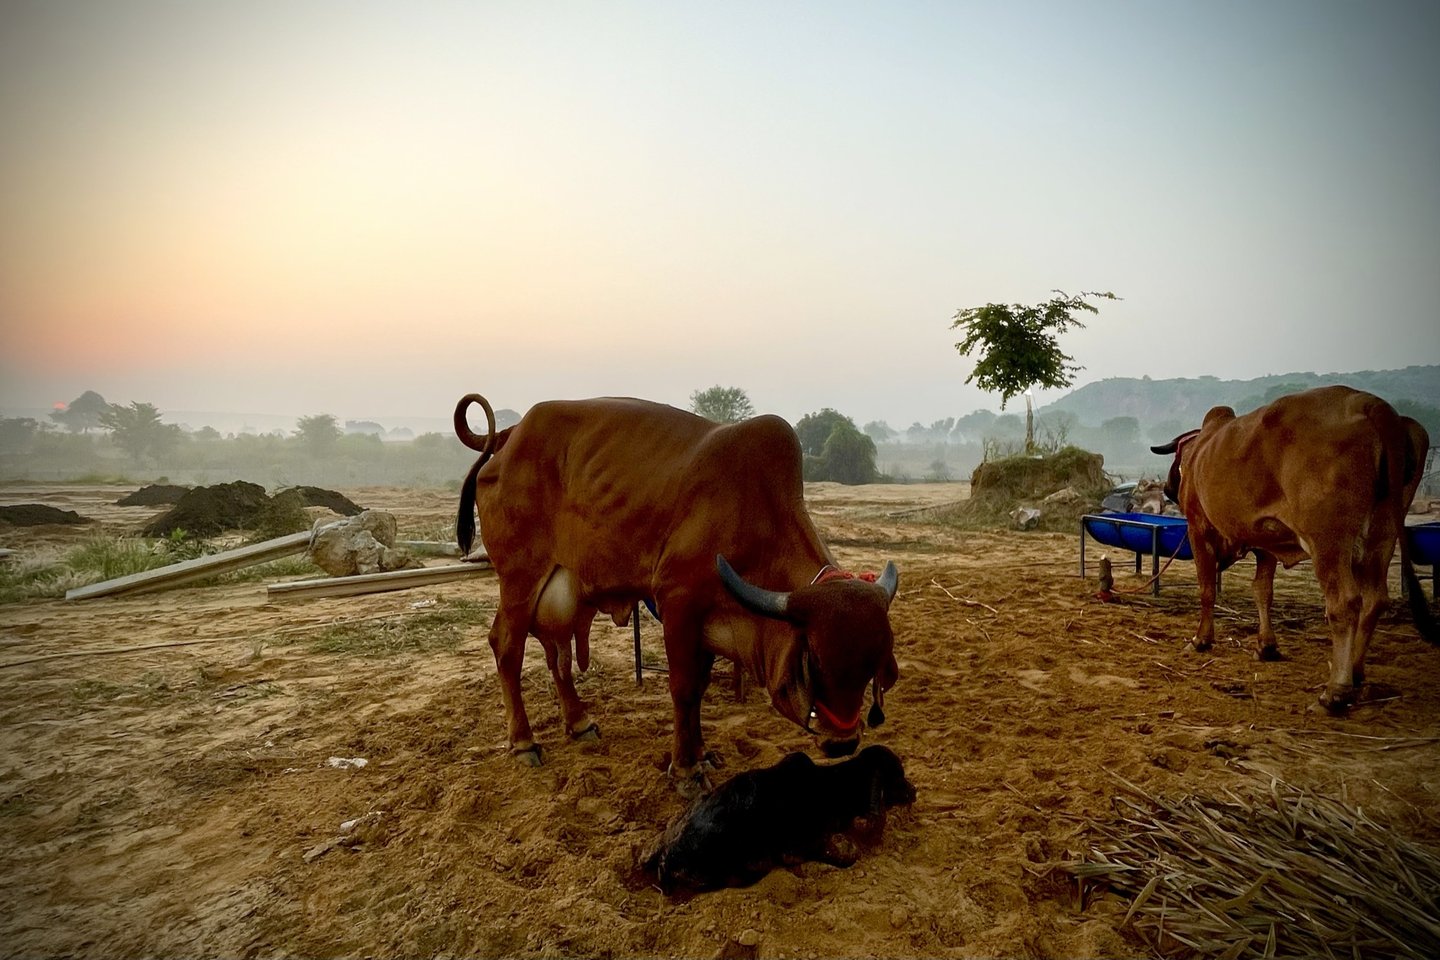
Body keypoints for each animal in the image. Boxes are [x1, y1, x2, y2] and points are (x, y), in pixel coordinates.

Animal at [454, 393, 900, 794]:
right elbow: (684, 690)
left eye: (871, 663)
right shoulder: (679, 603)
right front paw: (685, 769)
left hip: (564, 591)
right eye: (818, 659)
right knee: (507, 646)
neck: (755, 517)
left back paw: (579, 722)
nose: (842, 743)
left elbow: (699, 689)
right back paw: (524, 741)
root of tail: (509, 436)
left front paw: (702, 754)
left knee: (558, 654)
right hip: (520, 577)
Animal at [1150, 385, 1437, 712]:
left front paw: (1201, 639)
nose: (1168, 489)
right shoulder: (1266, 542)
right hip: (1383, 534)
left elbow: (1207, 589)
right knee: (1375, 600)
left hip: (1328, 539)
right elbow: (1262, 591)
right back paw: (1355, 672)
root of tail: (1370, 403)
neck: (1202, 450)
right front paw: (1266, 645)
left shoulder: (1198, 529)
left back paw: (1335, 691)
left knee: (1345, 603)